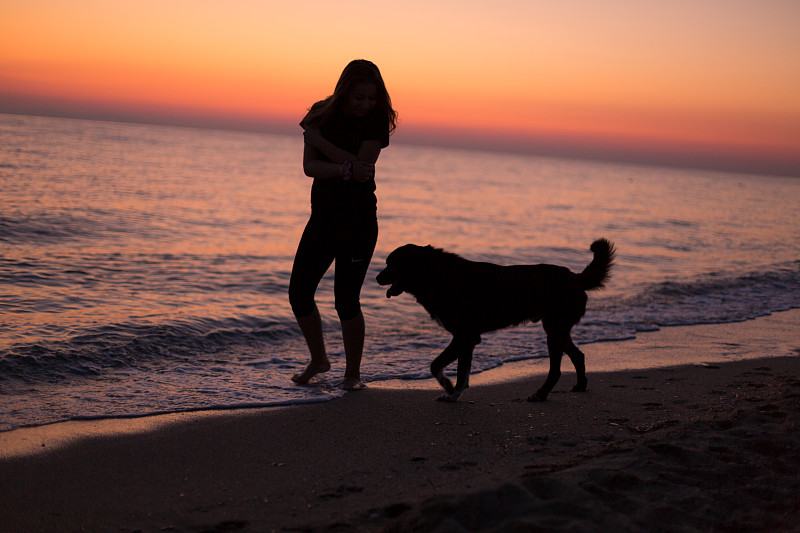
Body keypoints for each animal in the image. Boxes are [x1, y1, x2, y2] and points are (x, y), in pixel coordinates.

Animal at [378, 239, 616, 402]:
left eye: (391, 264)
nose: (377, 277)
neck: (435, 274)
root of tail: (575, 278)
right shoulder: (467, 339)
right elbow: (462, 370)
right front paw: (455, 393)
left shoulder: (465, 336)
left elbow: (437, 365)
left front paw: (448, 388)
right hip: (556, 329)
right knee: (578, 355)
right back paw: (580, 385)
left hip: (554, 330)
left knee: (556, 370)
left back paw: (540, 395)